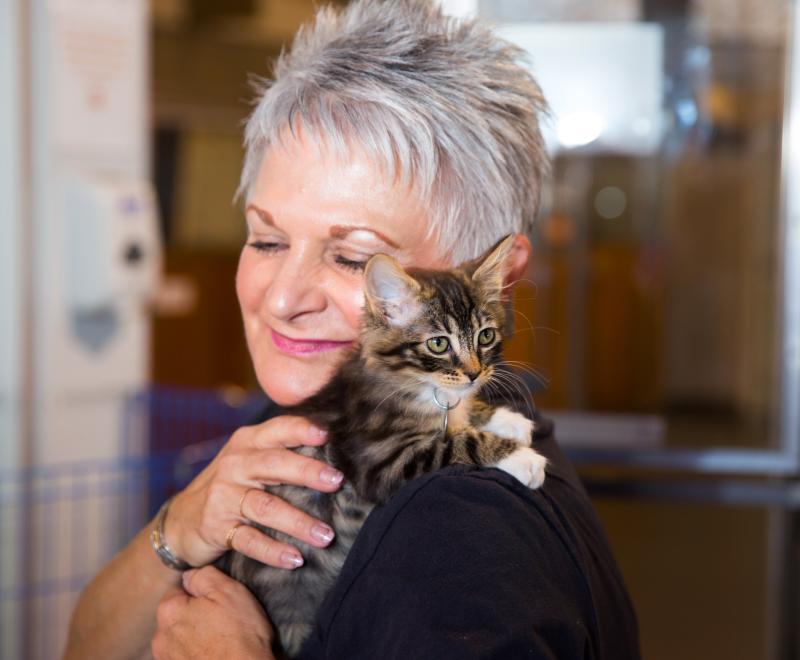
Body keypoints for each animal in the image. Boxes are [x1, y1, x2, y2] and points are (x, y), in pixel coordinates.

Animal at [225, 236, 552, 656]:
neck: (415, 385)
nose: (474, 372)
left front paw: (508, 420)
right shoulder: (381, 460)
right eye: (438, 344)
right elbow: (456, 442)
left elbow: (463, 414)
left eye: (485, 336)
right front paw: (522, 457)